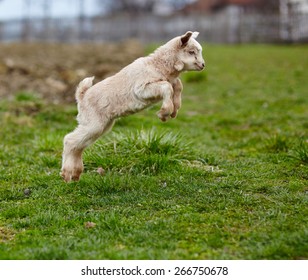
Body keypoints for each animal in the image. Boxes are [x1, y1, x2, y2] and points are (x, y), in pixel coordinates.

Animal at [60, 31, 205, 183]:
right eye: (191, 52)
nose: (203, 65)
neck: (157, 65)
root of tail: (82, 96)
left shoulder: (170, 81)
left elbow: (177, 85)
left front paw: (174, 109)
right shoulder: (141, 89)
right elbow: (167, 87)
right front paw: (164, 113)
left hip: (101, 125)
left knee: (79, 145)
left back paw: (75, 174)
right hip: (93, 122)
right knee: (69, 140)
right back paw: (67, 174)